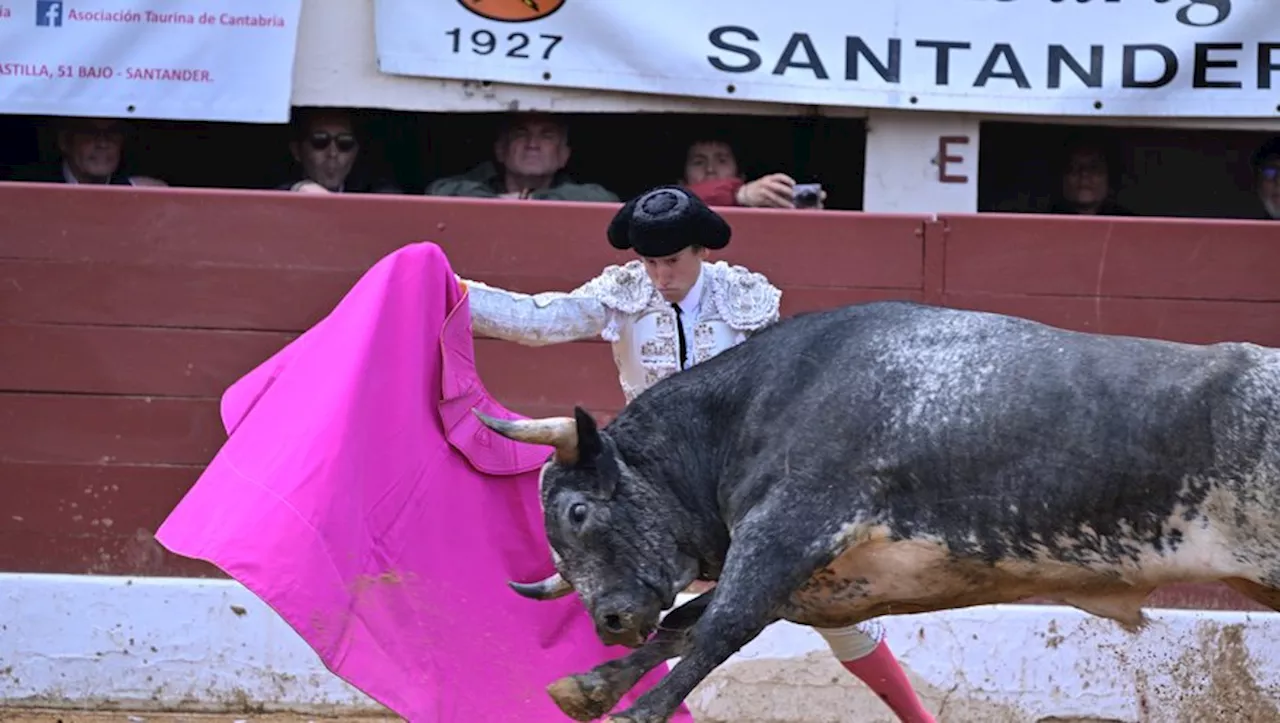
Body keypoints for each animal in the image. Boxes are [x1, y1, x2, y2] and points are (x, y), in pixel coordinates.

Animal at [476, 300, 1280, 721]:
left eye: (578, 512)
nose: (608, 619)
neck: (750, 409)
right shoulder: (818, 578)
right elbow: (687, 624)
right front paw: (587, 687)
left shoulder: (789, 528)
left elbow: (718, 626)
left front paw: (636, 711)